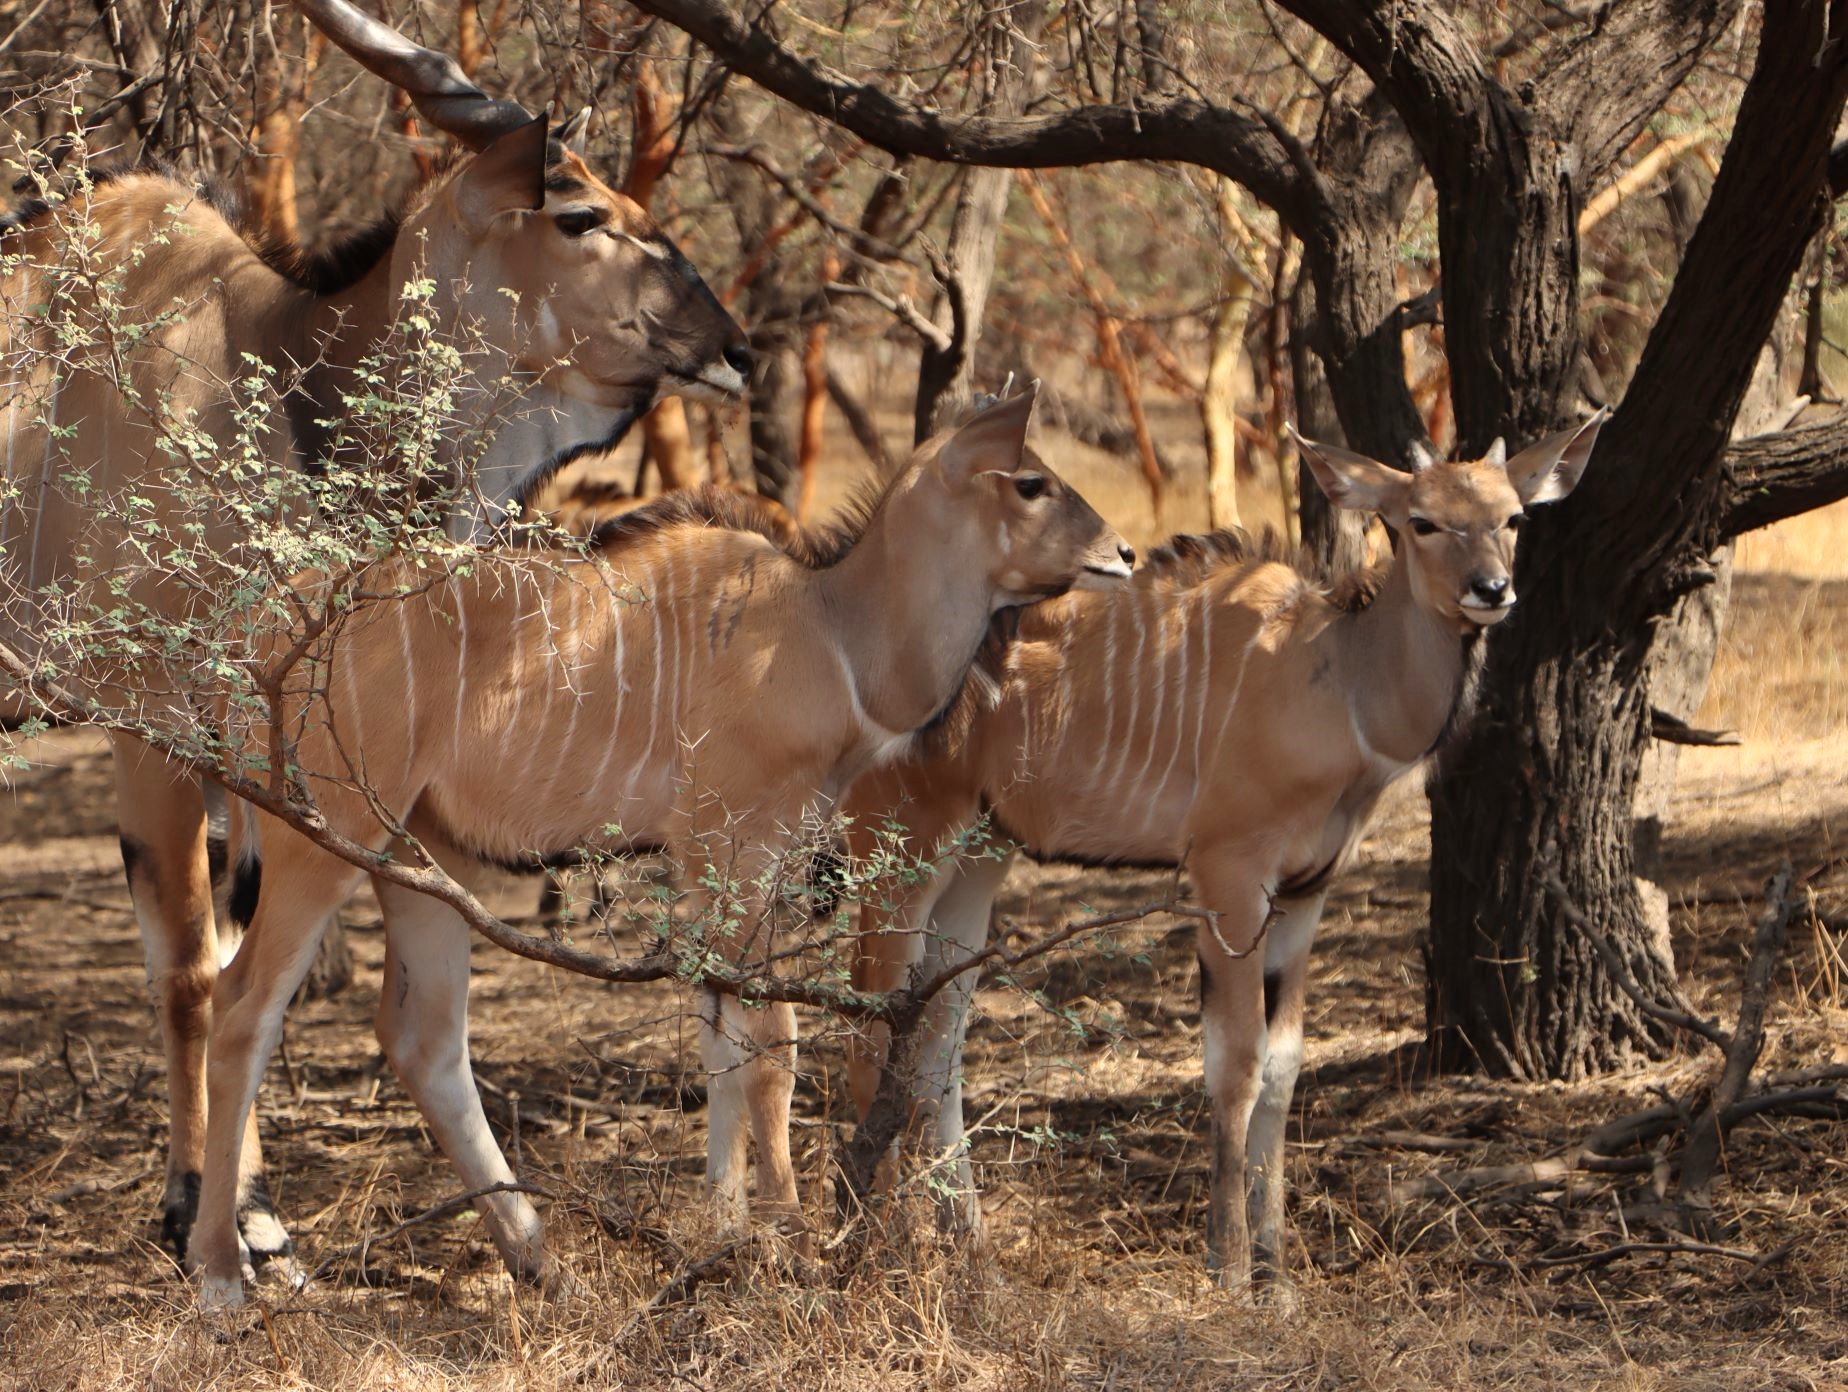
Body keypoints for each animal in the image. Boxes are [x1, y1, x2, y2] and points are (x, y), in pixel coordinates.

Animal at [0, 0, 747, 1272]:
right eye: (581, 213)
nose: (734, 343)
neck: (263, 384)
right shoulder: (149, 722)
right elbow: (192, 967)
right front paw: (206, 1211)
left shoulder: (268, 748)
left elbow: (253, 957)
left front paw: (249, 1211)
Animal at [188, 385, 1135, 1308]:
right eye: (1030, 482)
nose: (1124, 553)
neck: (829, 632)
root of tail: (261, 636)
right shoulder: (740, 846)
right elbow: (770, 1044)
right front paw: (791, 1248)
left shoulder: (708, 863)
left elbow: (719, 1038)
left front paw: (723, 1237)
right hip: (324, 843)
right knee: (239, 1007)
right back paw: (222, 1280)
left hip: (426, 859)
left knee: (424, 1040)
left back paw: (543, 1263)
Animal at [839, 411, 1608, 1299]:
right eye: (1421, 521)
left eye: (1512, 518)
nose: (1492, 591)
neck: (1340, 681)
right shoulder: (1229, 880)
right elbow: (1234, 1067)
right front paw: (1232, 1268)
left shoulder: (1306, 895)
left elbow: (1283, 1070)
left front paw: (1279, 1276)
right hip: (901, 854)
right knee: (870, 1030)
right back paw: (876, 1253)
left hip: (978, 859)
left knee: (936, 1043)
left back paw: (971, 1257)